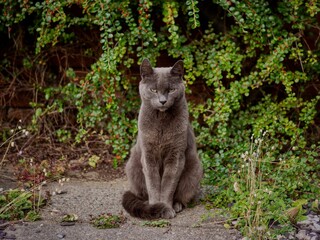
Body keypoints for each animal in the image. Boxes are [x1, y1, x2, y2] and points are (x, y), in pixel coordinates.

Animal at [121, 58, 201, 219]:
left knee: (182, 194)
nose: (163, 101)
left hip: (195, 171)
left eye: (171, 90)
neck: (161, 121)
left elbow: (168, 185)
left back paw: (177, 205)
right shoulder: (148, 155)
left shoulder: (176, 156)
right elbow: (153, 183)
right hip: (132, 166)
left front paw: (166, 208)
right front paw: (156, 207)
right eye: (153, 90)